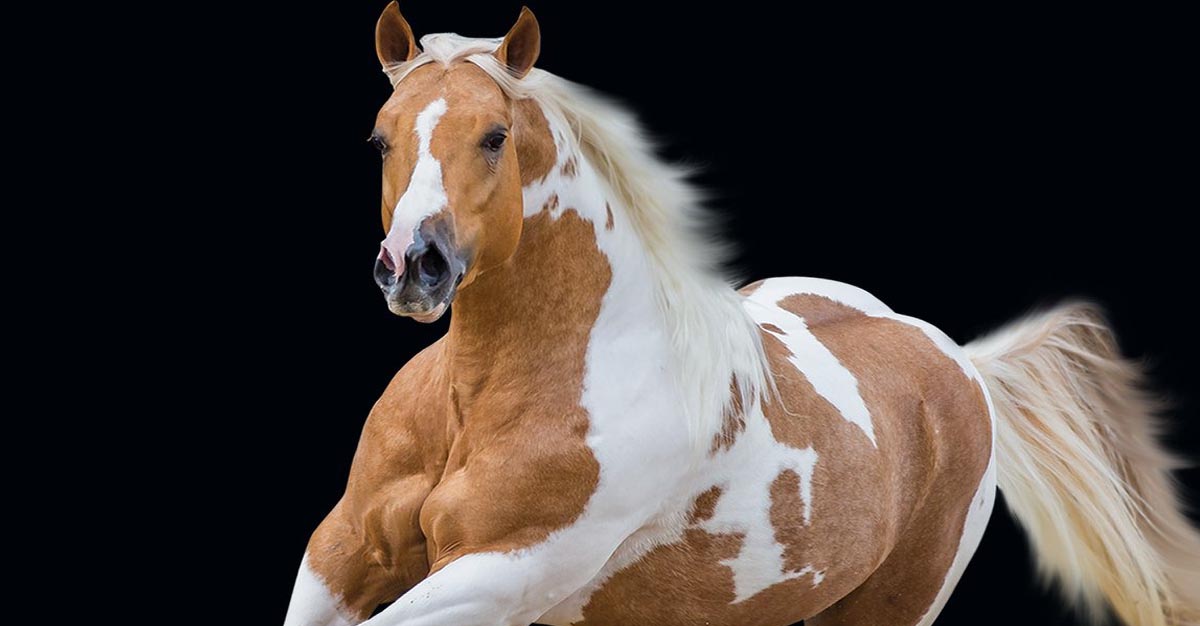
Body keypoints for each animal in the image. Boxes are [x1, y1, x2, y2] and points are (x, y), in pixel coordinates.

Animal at [283, 6, 1200, 623]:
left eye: (495, 136)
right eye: (380, 138)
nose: (415, 267)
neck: (481, 404)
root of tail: (962, 363)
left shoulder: (504, 575)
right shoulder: (342, 550)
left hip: (890, 610)